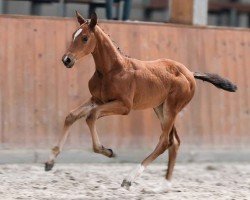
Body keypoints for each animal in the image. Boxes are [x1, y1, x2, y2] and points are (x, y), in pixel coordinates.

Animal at [45, 11, 238, 190]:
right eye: (73, 35)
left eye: (85, 38)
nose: (67, 59)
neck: (111, 70)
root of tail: (189, 73)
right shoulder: (97, 99)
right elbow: (71, 116)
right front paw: (50, 161)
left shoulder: (124, 106)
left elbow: (91, 116)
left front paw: (107, 151)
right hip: (160, 108)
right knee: (174, 141)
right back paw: (165, 185)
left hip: (171, 108)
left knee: (164, 141)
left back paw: (129, 178)